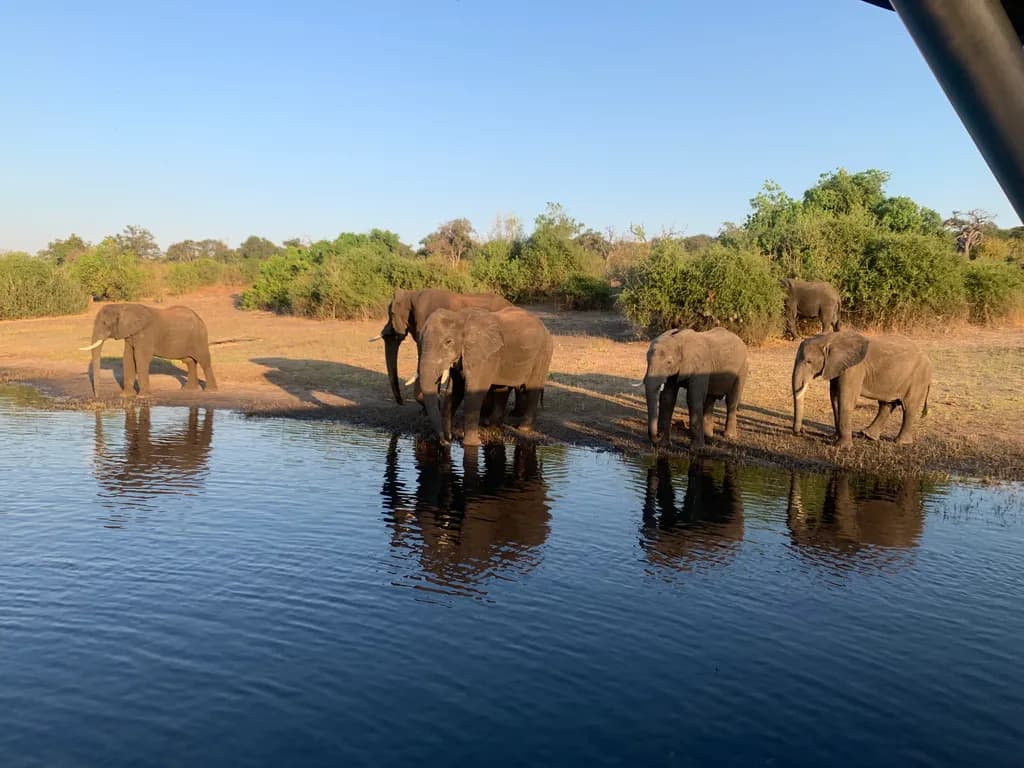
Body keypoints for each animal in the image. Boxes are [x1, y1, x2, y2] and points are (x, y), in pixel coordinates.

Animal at [80, 303, 218, 397]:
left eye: (104, 323)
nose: (97, 396)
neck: (123, 306)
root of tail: (199, 318)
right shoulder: (130, 334)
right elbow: (128, 358)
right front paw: (126, 396)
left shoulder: (145, 334)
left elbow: (140, 358)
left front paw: (142, 396)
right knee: (189, 361)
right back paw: (188, 390)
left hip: (199, 337)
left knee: (204, 361)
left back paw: (210, 391)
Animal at [417, 306, 553, 447]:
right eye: (420, 339)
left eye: (448, 342)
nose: (444, 442)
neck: (460, 317)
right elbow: (455, 391)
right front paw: (449, 438)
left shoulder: (484, 356)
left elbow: (474, 392)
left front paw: (471, 444)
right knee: (501, 388)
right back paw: (493, 425)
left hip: (543, 353)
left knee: (533, 388)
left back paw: (523, 429)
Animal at [791, 330, 932, 446]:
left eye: (809, 362)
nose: (801, 431)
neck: (831, 338)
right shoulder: (837, 367)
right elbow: (835, 398)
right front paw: (834, 437)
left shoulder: (854, 369)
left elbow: (846, 400)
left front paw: (842, 446)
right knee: (886, 405)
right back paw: (867, 435)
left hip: (918, 378)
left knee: (908, 407)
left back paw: (901, 442)